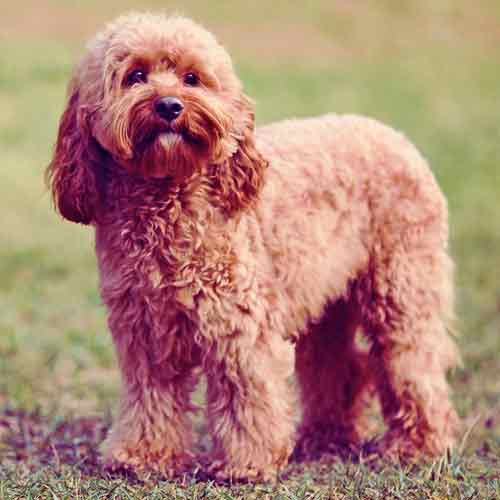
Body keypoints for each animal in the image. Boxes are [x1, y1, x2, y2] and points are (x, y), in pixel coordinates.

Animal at [47, 10, 460, 480]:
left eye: (192, 78)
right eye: (135, 76)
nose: (169, 106)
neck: (171, 199)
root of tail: (396, 138)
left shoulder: (237, 323)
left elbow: (245, 394)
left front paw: (247, 463)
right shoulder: (144, 329)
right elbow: (150, 394)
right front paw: (144, 455)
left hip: (401, 289)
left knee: (412, 364)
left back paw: (419, 446)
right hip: (326, 302)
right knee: (338, 367)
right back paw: (325, 438)